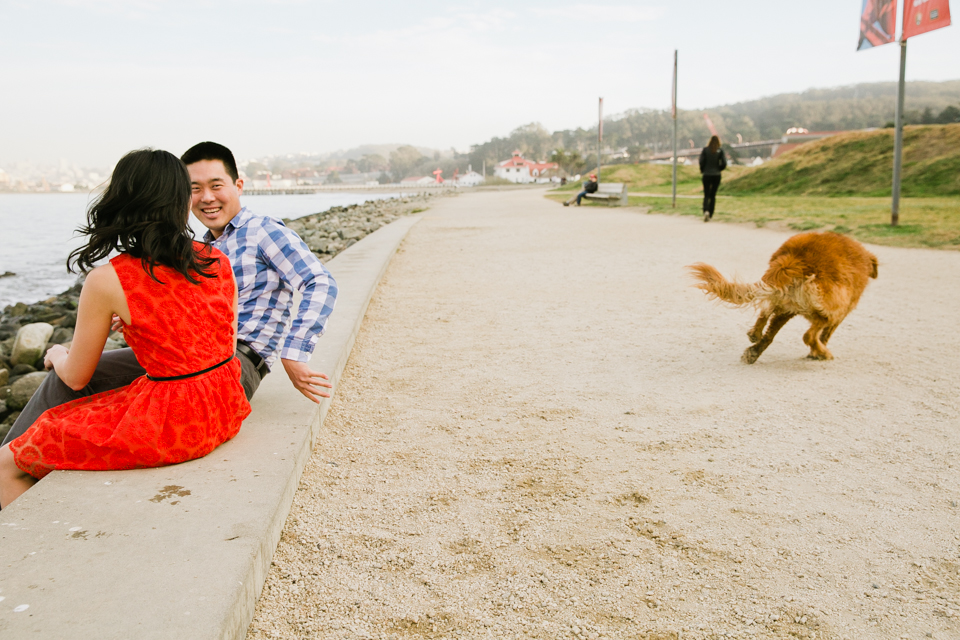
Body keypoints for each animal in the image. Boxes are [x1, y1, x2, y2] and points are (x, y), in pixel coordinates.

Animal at [688, 231, 876, 362]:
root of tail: (796, 260)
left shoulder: (789, 310)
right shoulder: (839, 314)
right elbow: (825, 335)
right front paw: (817, 351)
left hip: (784, 301)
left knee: (766, 316)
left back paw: (754, 343)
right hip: (829, 309)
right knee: (808, 335)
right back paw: (823, 352)